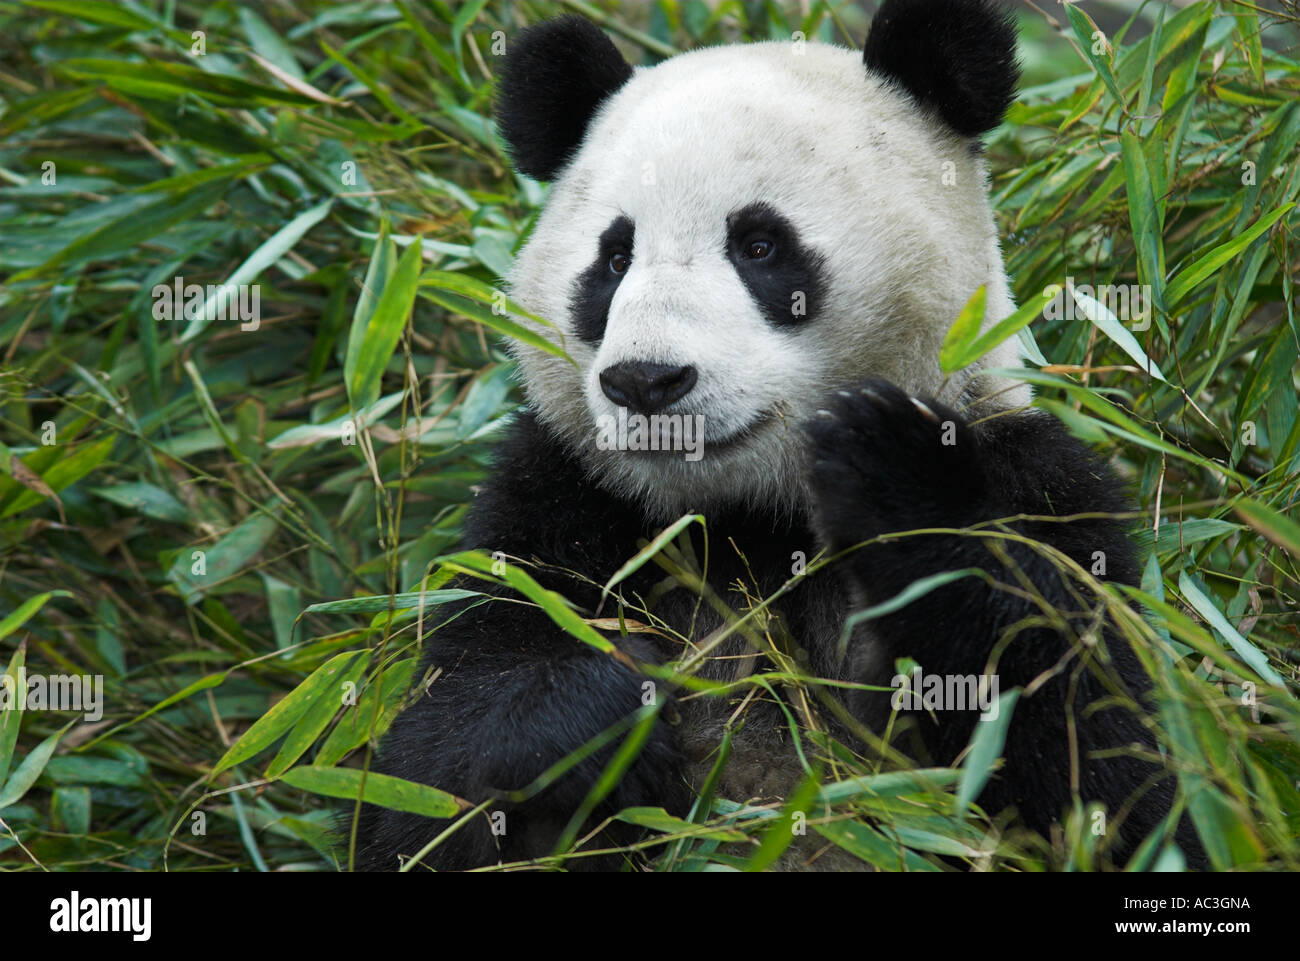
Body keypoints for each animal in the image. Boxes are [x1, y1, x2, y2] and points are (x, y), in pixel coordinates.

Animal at [353, 0, 1196, 873]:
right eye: (613, 259)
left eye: (759, 244)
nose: (647, 381)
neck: (752, 511)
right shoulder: (560, 495)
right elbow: (431, 778)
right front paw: (608, 709)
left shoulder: (1039, 480)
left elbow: (1099, 766)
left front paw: (888, 464)